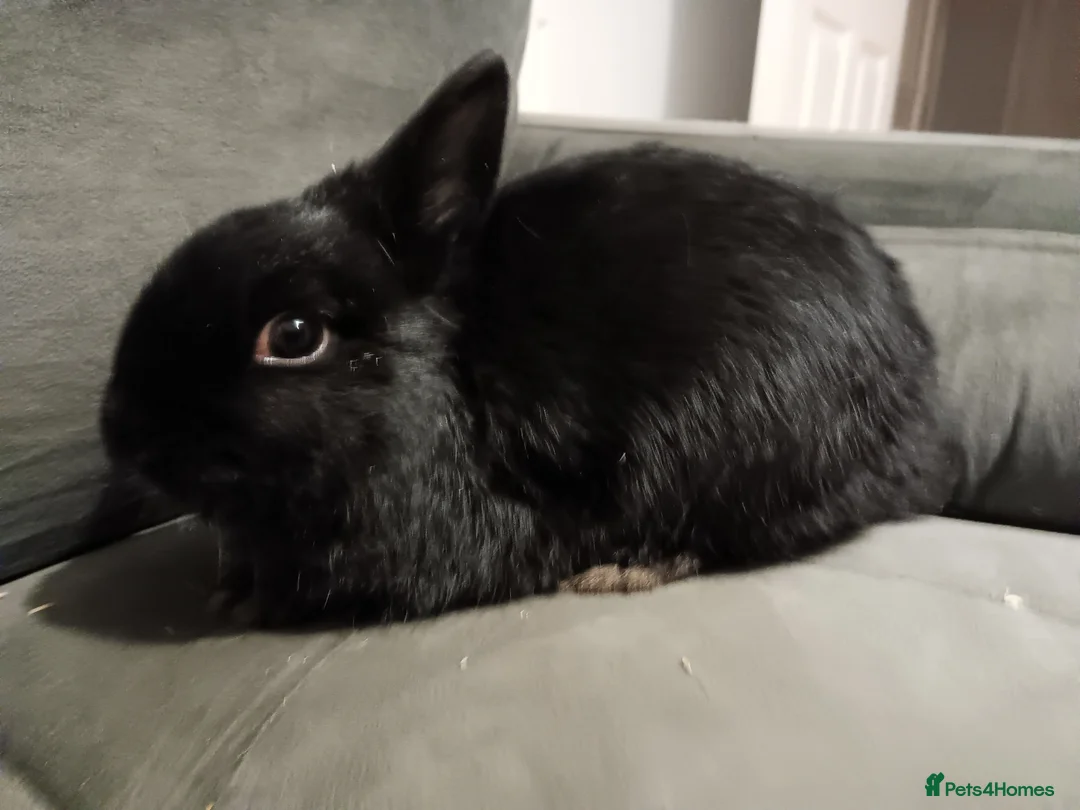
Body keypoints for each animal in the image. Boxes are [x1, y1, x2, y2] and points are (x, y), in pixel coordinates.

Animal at [99, 50, 957, 627]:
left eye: (295, 334)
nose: (124, 434)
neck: (449, 373)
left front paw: (244, 599)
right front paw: (229, 584)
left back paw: (625, 570)